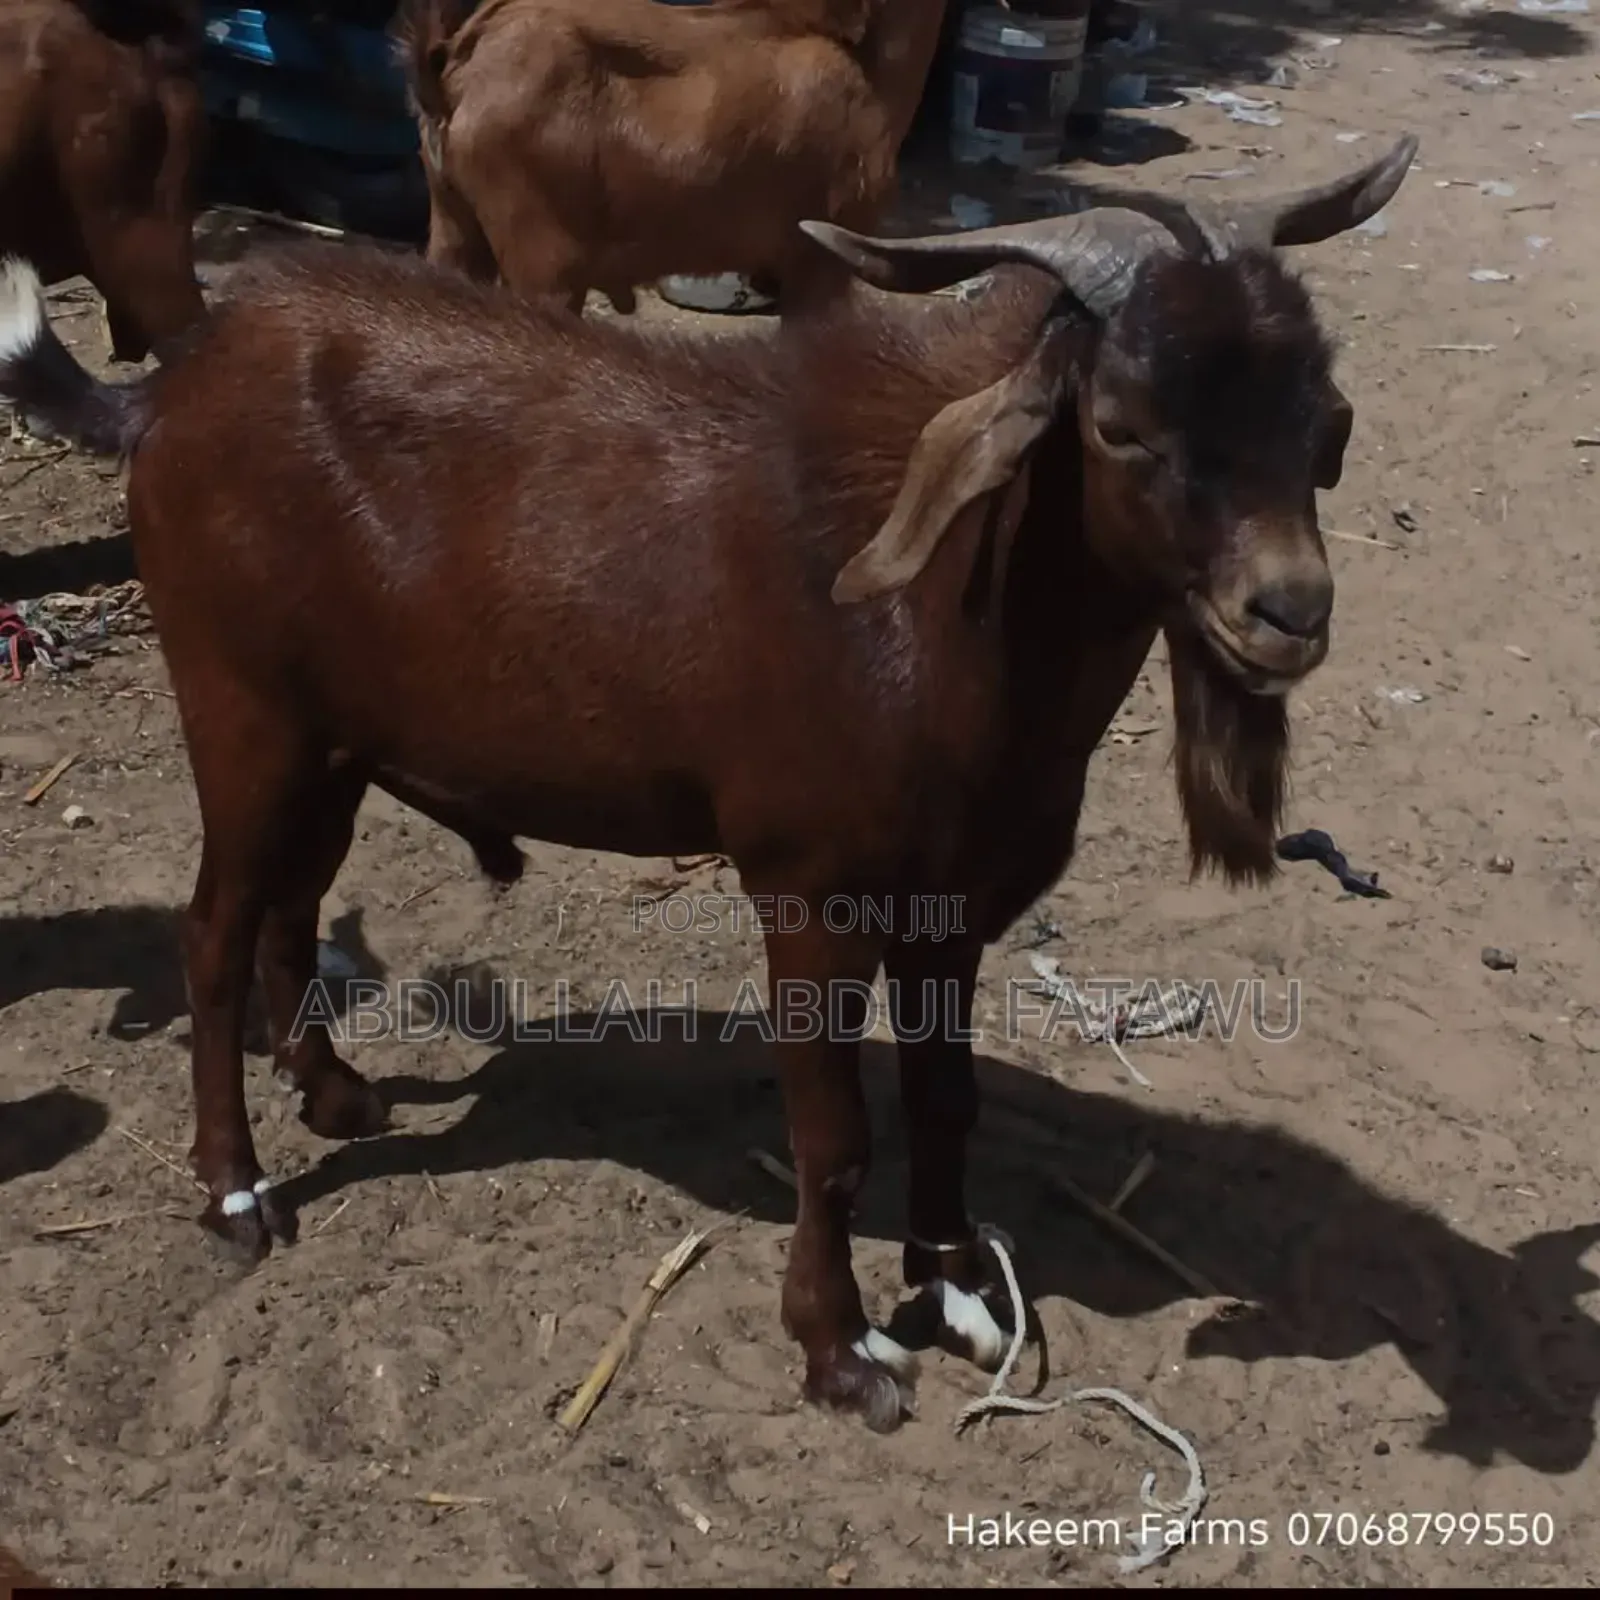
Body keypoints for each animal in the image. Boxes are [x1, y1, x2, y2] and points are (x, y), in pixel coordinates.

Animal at [0, 135, 1418, 1433]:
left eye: (1328, 425)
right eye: (1120, 427)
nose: (1288, 612)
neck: (939, 613)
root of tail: (167, 393)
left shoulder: (952, 903)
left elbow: (946, 1100)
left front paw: (956, 1289)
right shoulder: (808, 889)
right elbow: (834, 1142)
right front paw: (842, 1352)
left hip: (331, 738)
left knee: (291, 907)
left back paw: (336, 1091)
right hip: (240, 709)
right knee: (212, 933)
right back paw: (235, 1191)